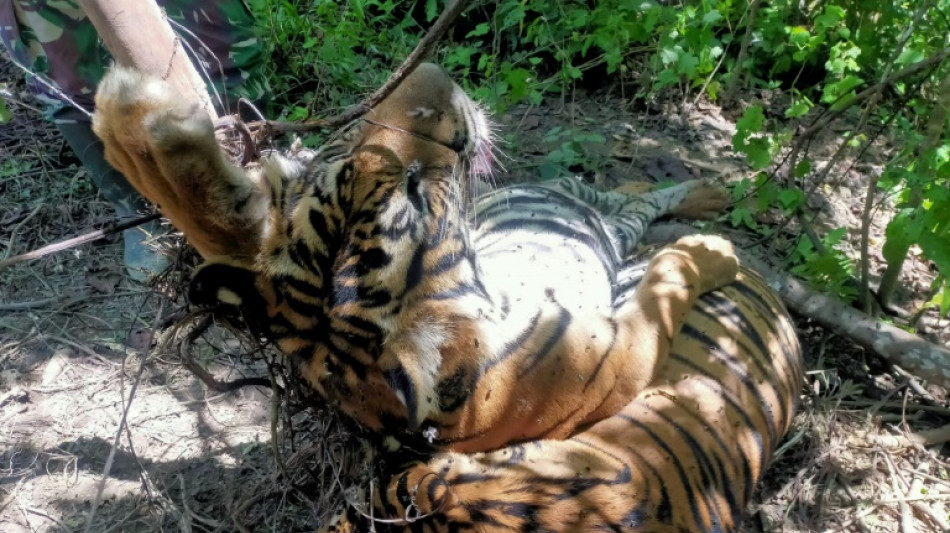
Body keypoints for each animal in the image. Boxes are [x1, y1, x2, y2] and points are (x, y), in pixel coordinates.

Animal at [92, 63, 803, 531]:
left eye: (344, 153)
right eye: (411, 186)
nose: (435, 74)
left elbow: (223, 216)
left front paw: (140, 121)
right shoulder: (623, 351)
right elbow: (667, 283)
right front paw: (712, 254)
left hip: (576, 204)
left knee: (626, 195)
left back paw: (709, 189)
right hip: (596, 223)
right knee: (630, 210)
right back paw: (709, 210)